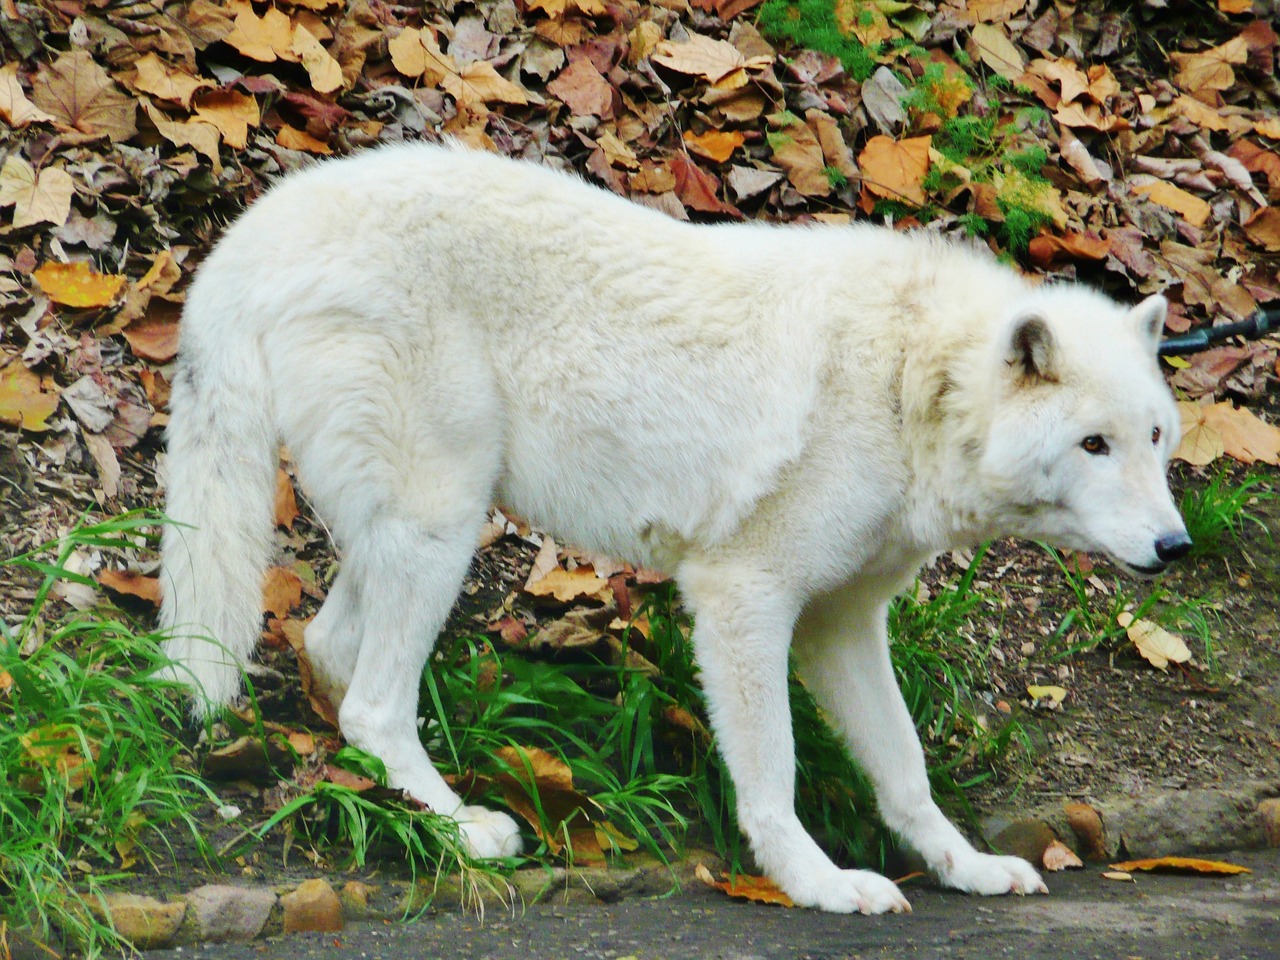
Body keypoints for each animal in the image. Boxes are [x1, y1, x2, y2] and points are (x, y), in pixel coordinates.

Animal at [160, 142, 1187, 916]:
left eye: (1154, 437)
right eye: (1093, 444)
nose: (1176, 548)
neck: (910, 381)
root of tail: (259, 225)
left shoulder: (843, 622)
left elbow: (905, 767)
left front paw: (962, 867)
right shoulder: (744, 600)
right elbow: (771, 776)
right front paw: (819, 885)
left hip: (419, 525)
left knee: (331, 652)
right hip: (440, 524)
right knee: (374, 702)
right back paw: (463, 830)